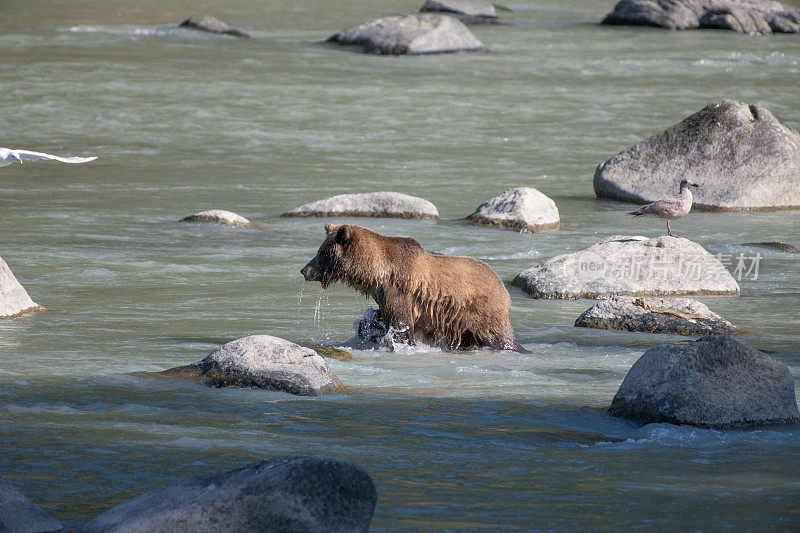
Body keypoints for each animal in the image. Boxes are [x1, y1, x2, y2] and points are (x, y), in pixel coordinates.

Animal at [300, 222, 524, 352]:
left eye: (323, 252)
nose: (305, 270)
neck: (376, 272)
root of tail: (503, 288)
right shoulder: (383, 293)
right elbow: (382, 317)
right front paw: (367, 327)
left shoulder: (398, 289)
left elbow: (400, 324)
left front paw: (398, 342)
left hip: (481, 312)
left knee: (500, 337)